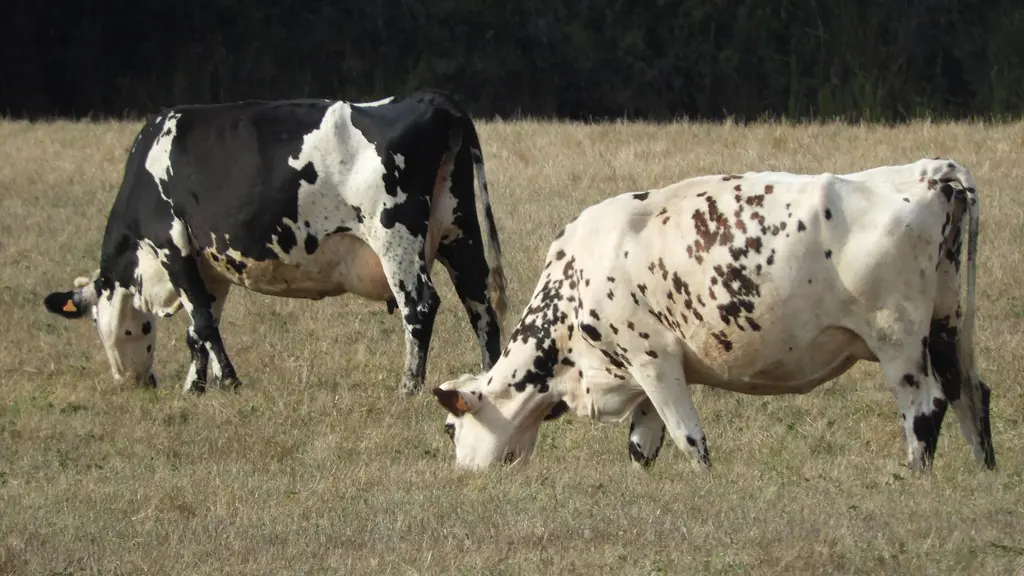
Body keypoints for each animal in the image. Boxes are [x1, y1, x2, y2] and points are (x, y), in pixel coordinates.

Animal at [43, 90, 507, 396]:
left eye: (98, 324)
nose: (135, 383)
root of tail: (430, 99)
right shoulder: (209, 262)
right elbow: (198, 328)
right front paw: (197, 387)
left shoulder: (171, 244)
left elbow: (203, 323)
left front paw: (229, 382)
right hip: (458, 231)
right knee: (480, 304)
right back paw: (488, 379)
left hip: (395, 237)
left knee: (420, 306)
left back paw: (408, 388)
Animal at [432, 158, 995, 473]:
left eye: (450, 429)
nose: (462, 475)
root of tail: (930, 172)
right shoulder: (642, 375)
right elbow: (643, 446)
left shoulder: (653, 359)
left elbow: (689, 440)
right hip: (947, 325)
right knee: (971, 395)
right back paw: (982, 474)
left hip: (896, 339)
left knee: (925, 406)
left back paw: (916, 476)